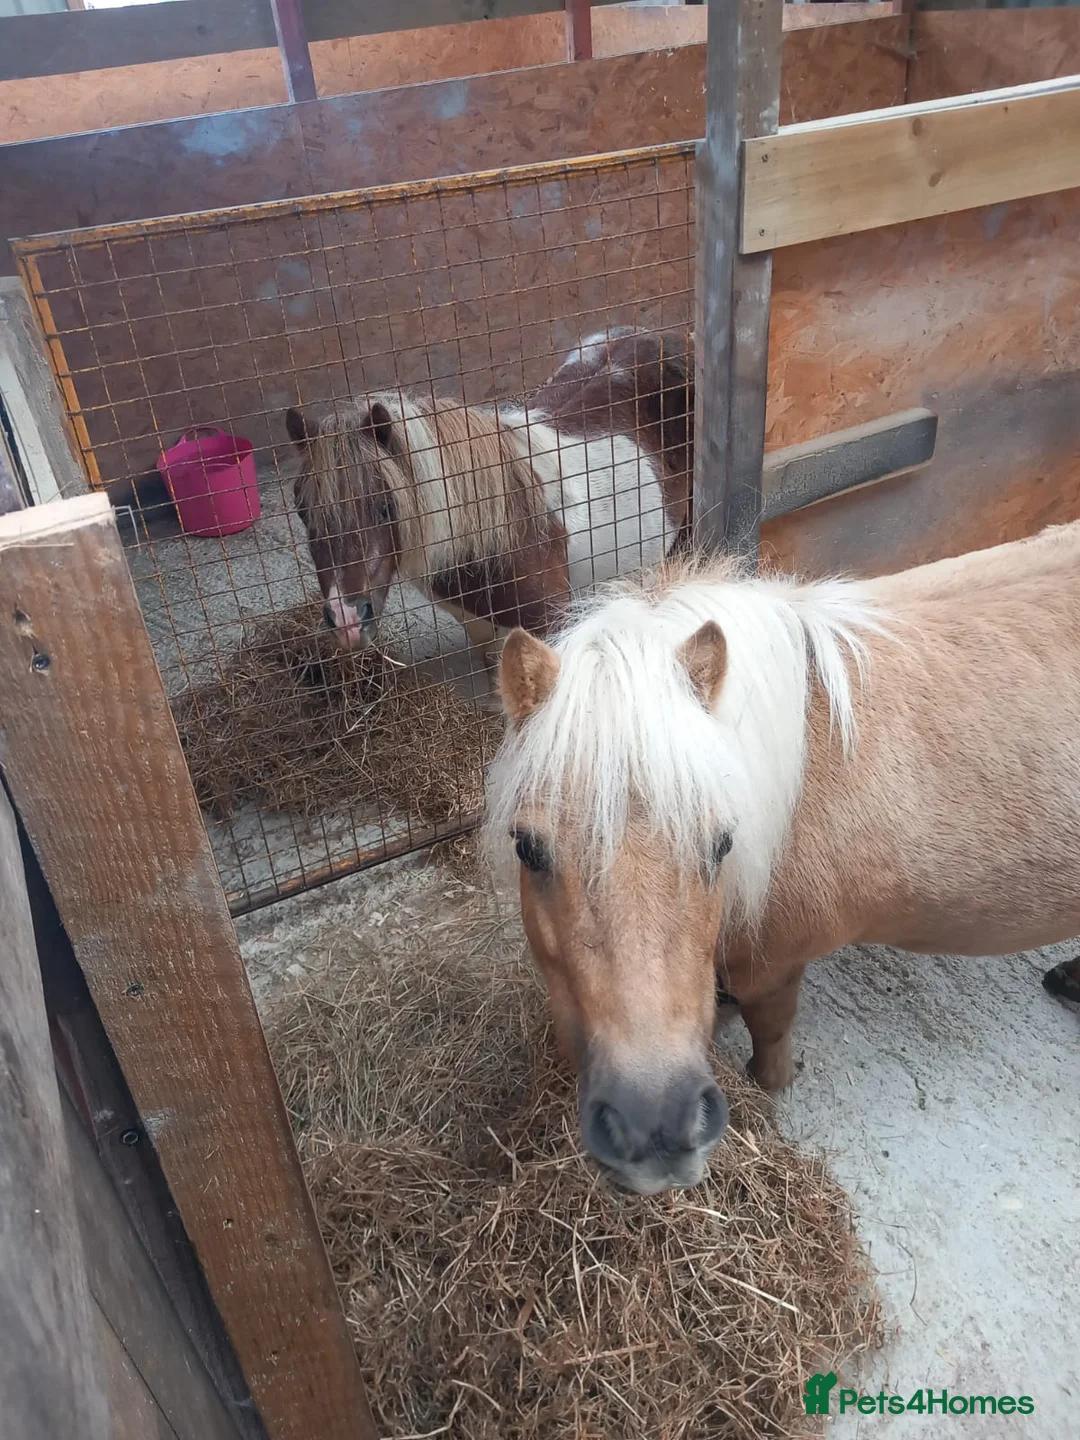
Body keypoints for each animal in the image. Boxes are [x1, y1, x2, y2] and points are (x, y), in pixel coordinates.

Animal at [285, 327, 693, 676]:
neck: (505, 534)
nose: (347, 620)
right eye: (303, 512)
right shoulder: (480, 629)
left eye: (385, 506)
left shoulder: (550, 623)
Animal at [484, 521, 1080, 1195]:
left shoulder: (773, 967)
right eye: (528, 847)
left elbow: (768, 1037)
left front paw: (770, 1088)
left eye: (723, 843)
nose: (652, 1125)